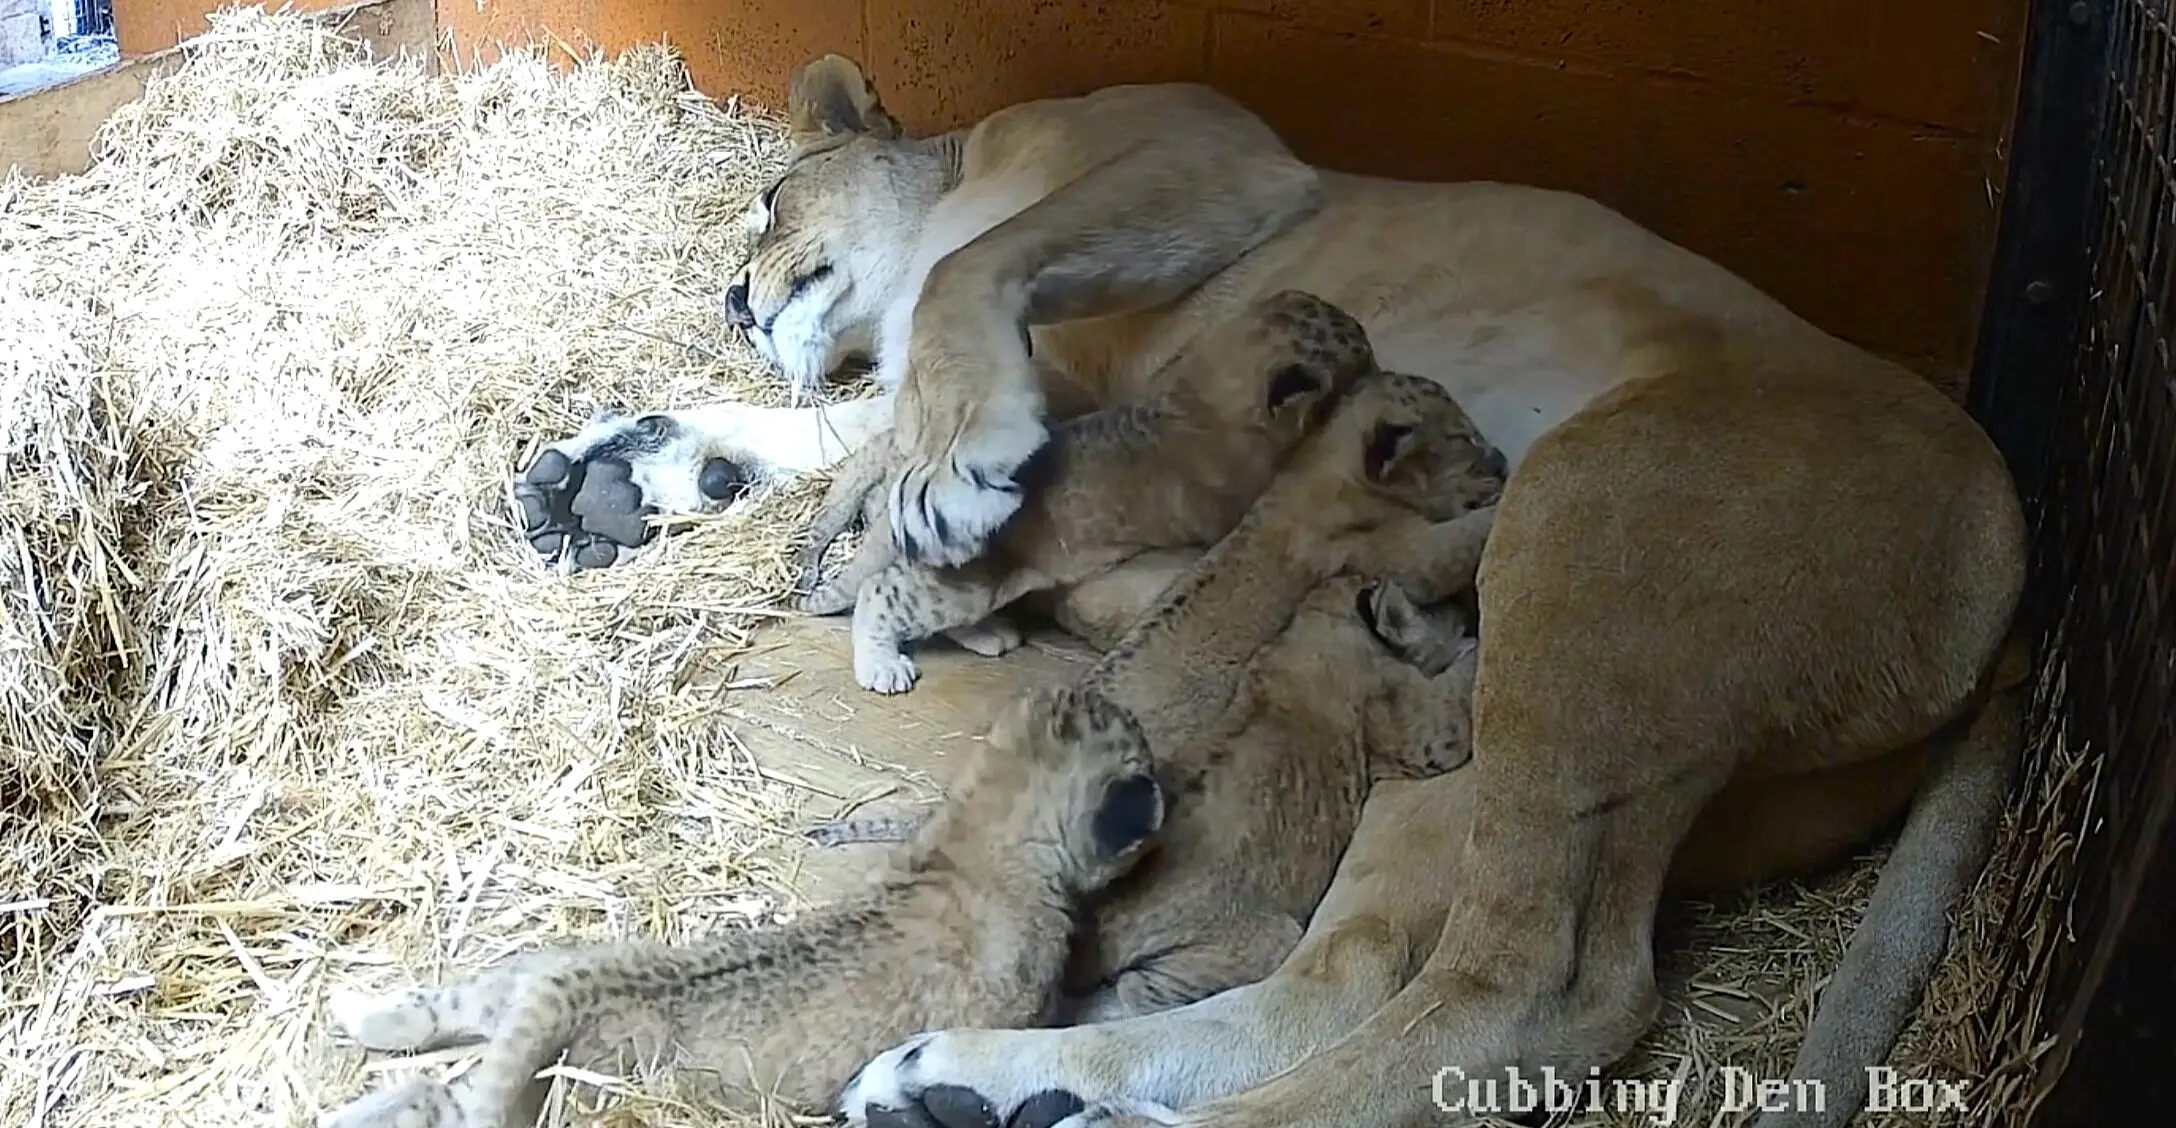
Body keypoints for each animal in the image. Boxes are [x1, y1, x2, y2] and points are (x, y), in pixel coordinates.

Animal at [310, 684, 1167, 1128]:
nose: (1165, 793)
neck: (977, 840)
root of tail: (580, 984)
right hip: (576, 1087)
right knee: (442, 1100)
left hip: (512, 989)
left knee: (432, 1033)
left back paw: (355, 1019)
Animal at [791, 289, 1385, 694]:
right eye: (1359, 350)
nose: (1381, 368)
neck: (1202, 393)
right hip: (970, 581)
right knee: (880, 594)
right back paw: (884, 667)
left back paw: (991, 636)